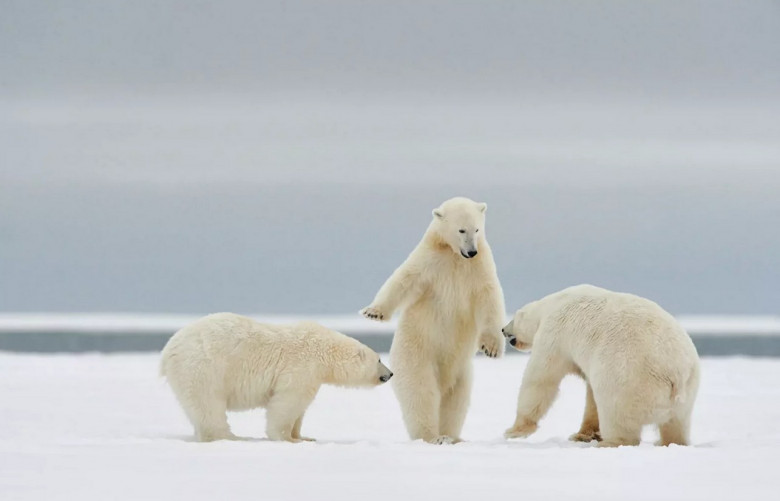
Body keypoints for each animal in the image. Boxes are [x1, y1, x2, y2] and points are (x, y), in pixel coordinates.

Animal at [158, 312, 394, 442]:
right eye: (379, 360)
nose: (390, 373)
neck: (325, 350)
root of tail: (168, 350)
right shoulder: (302, 366)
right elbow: (288, 402)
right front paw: (288, 438)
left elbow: (300, 410)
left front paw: (304, 436)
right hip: (203, 367)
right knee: (209, 405)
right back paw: (232, 436)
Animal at [362, 197, 506, 444]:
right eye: (461, 229)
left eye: (477, 229)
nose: (472, 251)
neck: (454, 255)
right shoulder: (430, 261)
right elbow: (403, 279)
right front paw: (374, 312)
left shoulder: (479, 268)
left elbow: (489, 299)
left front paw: (491, 348)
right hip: (417, 355)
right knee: (422, 393)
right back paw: (433, 436)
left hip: (462, 372)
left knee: (455, 401)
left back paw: (452, 436)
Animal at [502, 284, 704, 448]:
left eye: (513, 319)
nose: (503, 329)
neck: (554, 302)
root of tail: (676, 373)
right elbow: (590, 394)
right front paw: (583, 434)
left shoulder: (554, 333)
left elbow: (541, 378)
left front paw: (514, 430)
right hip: (688, 391)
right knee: (677, 424)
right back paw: (668, 442)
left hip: (628, 378)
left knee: (616, 414)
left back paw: (610, 442)